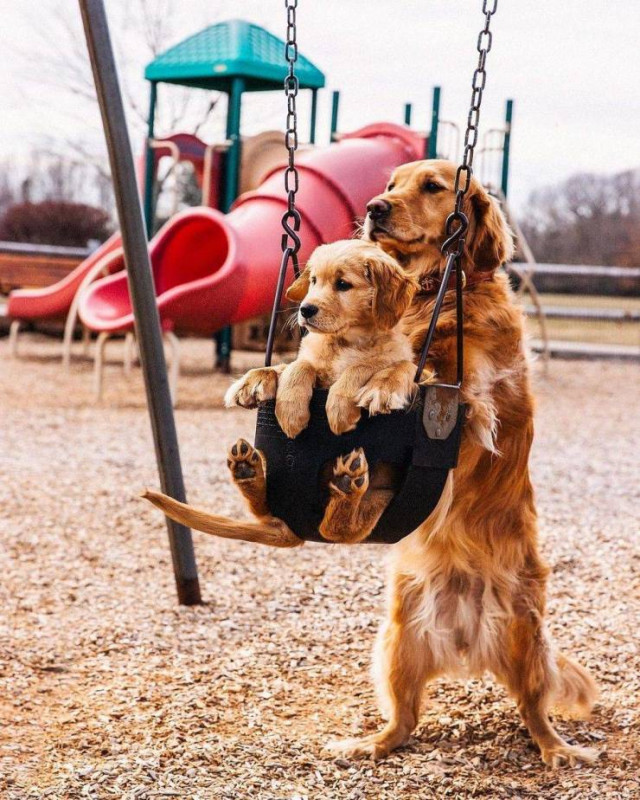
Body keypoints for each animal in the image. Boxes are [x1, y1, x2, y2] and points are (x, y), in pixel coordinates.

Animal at [146, 238, 424, 548]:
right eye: (314, 281)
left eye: (343, 284)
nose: (305, 309)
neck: (344, 343)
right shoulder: (310, 357)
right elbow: (296, 365)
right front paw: (287, 409)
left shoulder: (412, 370)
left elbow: (371, 365)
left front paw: (343, 407)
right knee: (266, 508)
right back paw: (247, 470)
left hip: (383, 496)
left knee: (338, 529)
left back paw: (346, 487)